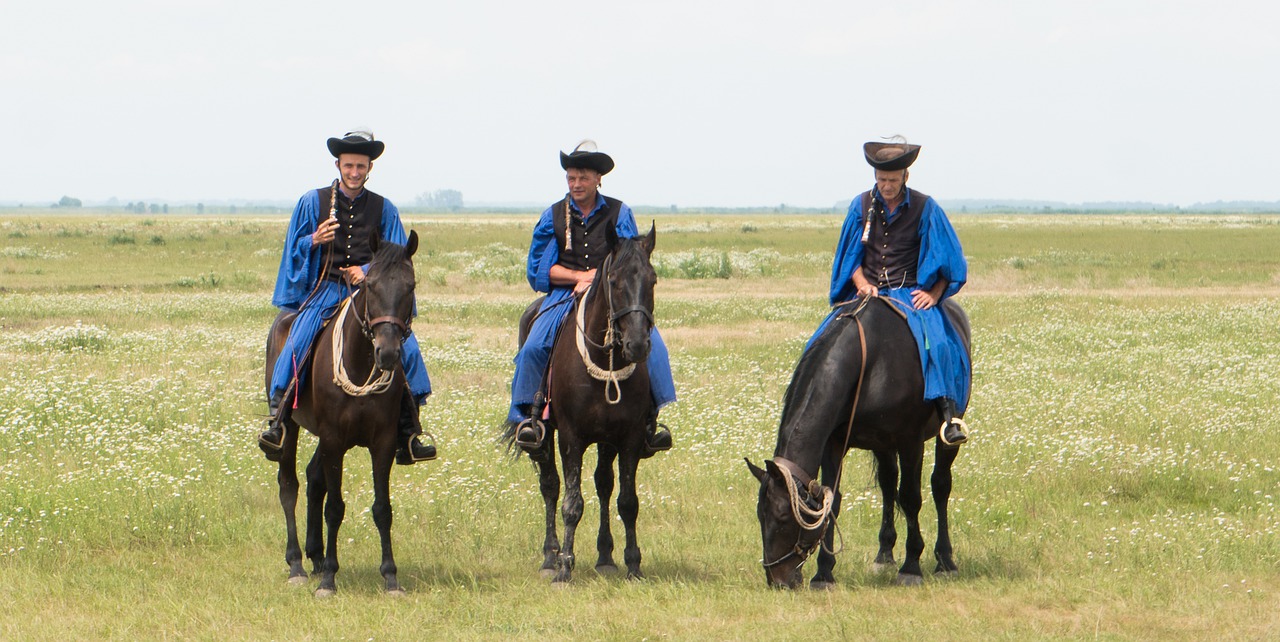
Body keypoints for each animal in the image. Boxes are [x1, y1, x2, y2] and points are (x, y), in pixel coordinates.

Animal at [264, 230, 419, 595]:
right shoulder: (334, 439)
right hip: (291, 428)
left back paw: (316, 556)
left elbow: (382, 508)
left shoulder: (382, 442)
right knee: (289, 485)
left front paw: (390, 576)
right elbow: (335, 507)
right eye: (371, 285)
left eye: (410, 286)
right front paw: (329, 580)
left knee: (313, 479)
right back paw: (297, 564)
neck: (360, 361)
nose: (388, 353)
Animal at [504, 225, 660, 580]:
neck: (606, 363)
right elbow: (571, 503)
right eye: (614, 281)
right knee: (550, 486)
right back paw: (550, 556)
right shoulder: (570, 437)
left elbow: (627, 501)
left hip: (606, 439)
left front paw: (633, 564)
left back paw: (605, 556)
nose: (638, 345)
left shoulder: (629, 437)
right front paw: (565, 566)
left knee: (604, 485)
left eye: (653, 280)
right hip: (544, 435)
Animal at [742, 295, 967, 585]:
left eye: (782, 517)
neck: (870, 363)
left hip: (945, 435)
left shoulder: (911, 441)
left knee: (940, 486)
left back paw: (945, 560)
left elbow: (910, 498)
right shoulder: (834, 443)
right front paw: (824, 574)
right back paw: (884, 555)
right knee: (887, 484)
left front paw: (911, 567)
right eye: (760, 515)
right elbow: (832, 502)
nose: (778, 581)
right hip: (883, 445)